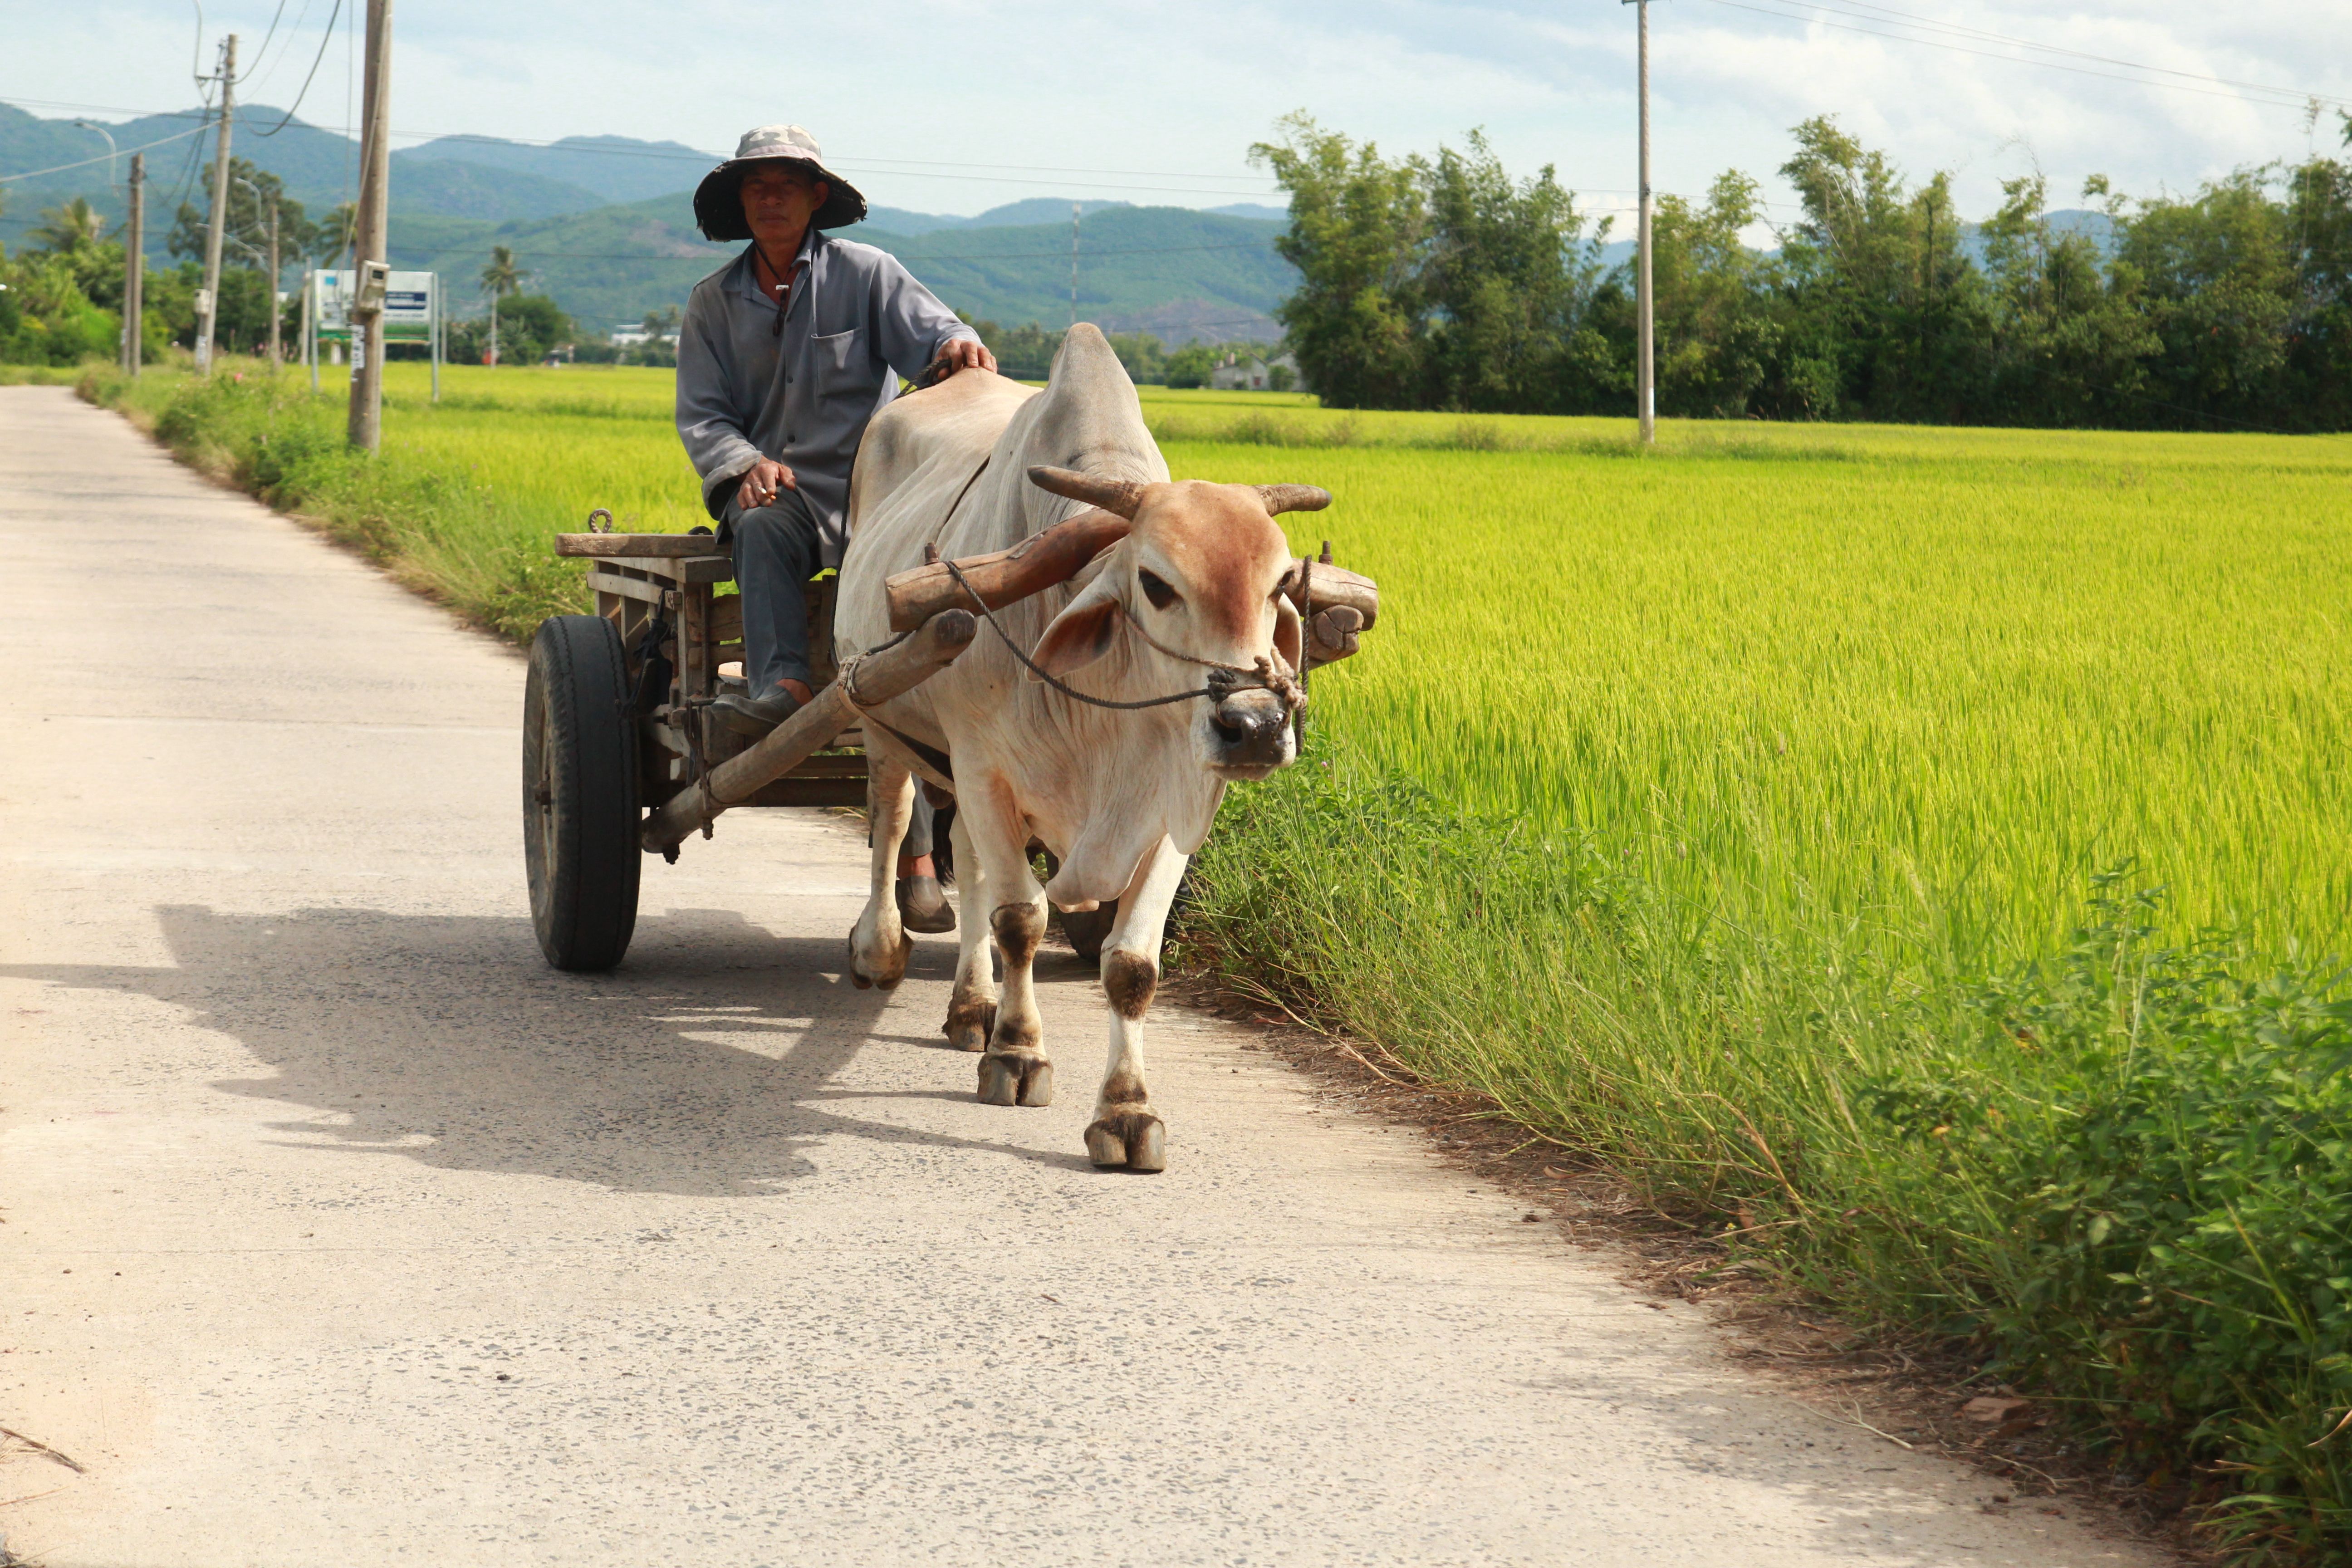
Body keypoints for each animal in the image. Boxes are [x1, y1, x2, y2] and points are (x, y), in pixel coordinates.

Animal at [831, 324, 1328, 1172]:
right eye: (1157, 585)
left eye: (1276, 588)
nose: (1256, 727)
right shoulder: (985, 765)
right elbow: (1019, 921)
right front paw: (1018, 1054)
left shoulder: (1172, 802)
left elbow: (1130, 964)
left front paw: (1126, 1111)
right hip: (882, 716)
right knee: (894, 823)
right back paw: (882, 947)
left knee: (965, 861)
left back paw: (972, 1005)